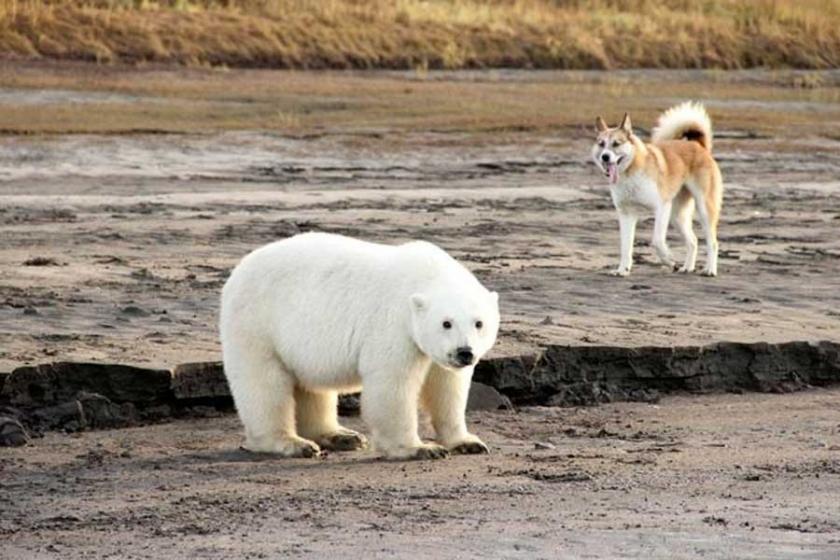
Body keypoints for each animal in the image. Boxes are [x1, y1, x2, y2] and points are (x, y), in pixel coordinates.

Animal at [220, 232, 502, 460]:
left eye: (479, 323)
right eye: (446, 323)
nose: (465, 352)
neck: (426, 276)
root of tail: (239, 270)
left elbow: (447, 387)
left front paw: (468, 442)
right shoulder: (394, 326)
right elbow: (393, 386)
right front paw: (420, 449)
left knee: (311, 385)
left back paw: (342, 436)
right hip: (257, 323)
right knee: (264, 384)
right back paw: (292, 443)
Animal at [592, 103, 720, 278]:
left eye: (616, 144)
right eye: (601, 144)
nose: (605, 157)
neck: (631, 171)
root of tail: (698, 145)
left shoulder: (661, 207)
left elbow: (657, 241)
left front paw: (669, 261)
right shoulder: (626, 214)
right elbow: (626, 247)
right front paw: (623, 270)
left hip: (703, 209)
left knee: (712, 242)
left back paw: (710, 269)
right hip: (676, 216)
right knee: (693, 241)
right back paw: (687, 267)